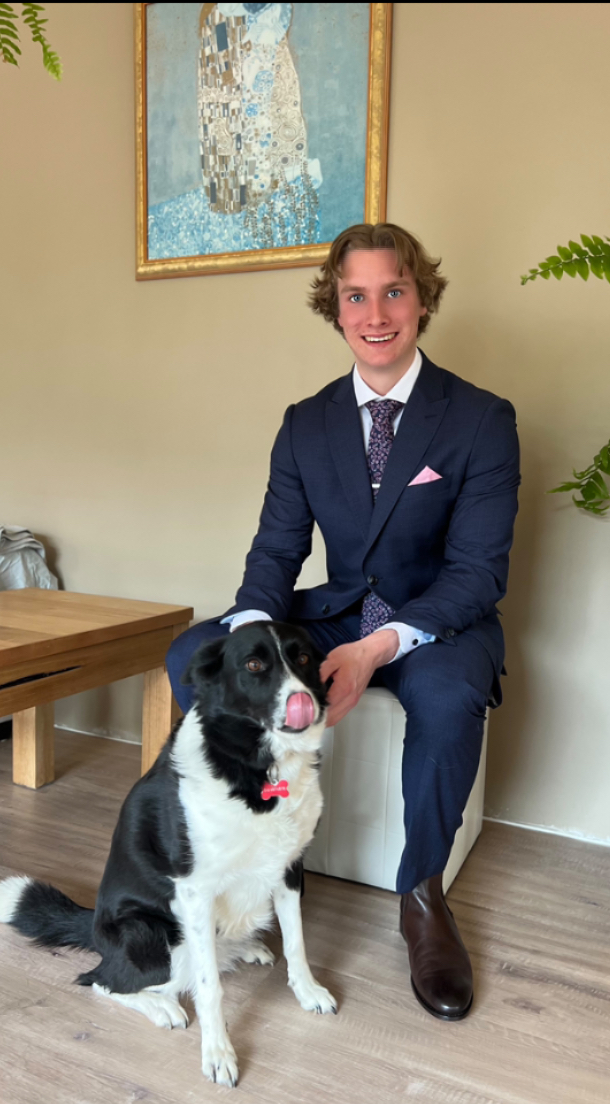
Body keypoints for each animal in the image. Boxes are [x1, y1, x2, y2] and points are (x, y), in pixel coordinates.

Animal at [0, 622, 335, 1086]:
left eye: (302, 658)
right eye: (253, 664)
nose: (303, 702)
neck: (257, 769)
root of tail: (95, 928)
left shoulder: (288, 869)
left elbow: (297, 942)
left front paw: (308, 992)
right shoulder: (196, 890)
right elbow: (210, 986)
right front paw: (218, 1053)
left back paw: (244, 947)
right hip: (155, 935)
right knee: (102, 980)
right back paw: (162, 1007)